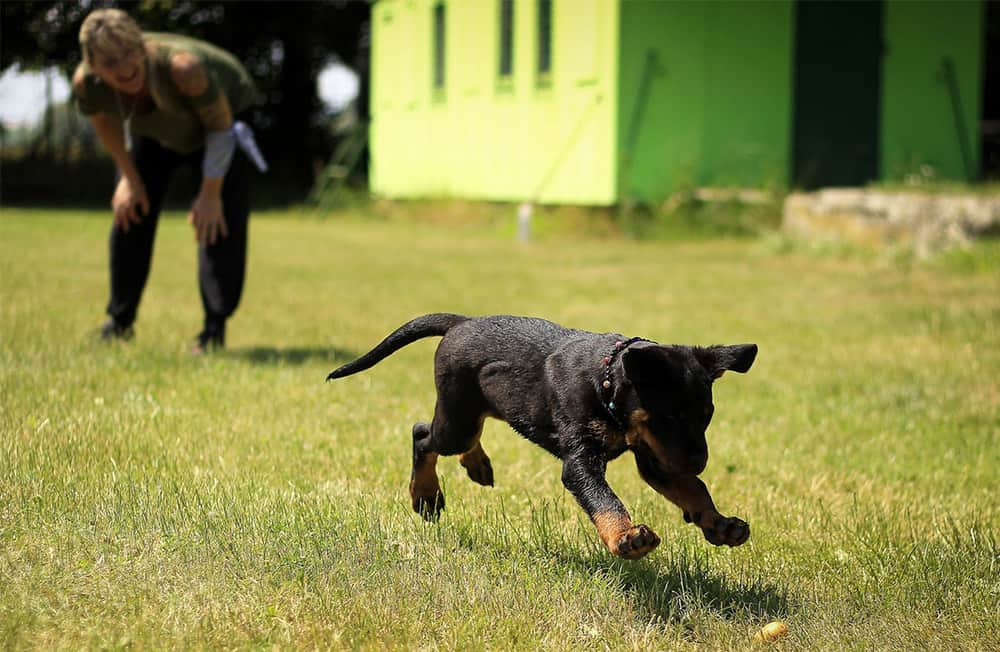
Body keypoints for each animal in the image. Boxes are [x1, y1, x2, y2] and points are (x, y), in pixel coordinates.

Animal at [328, 314, 756, 556]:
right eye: (669, 416)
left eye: (706, 416)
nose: (700, 461)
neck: (605, 382)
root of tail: (461, 322)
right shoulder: (582, 461)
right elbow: (605, 500)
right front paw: (626, 538)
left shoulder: (656, 458)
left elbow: (693, 489)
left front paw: (719, 524)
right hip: (457, 420)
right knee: (423, 435)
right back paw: (426, 495)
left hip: (478, 409)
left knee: (465, 435)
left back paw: (477, 465)